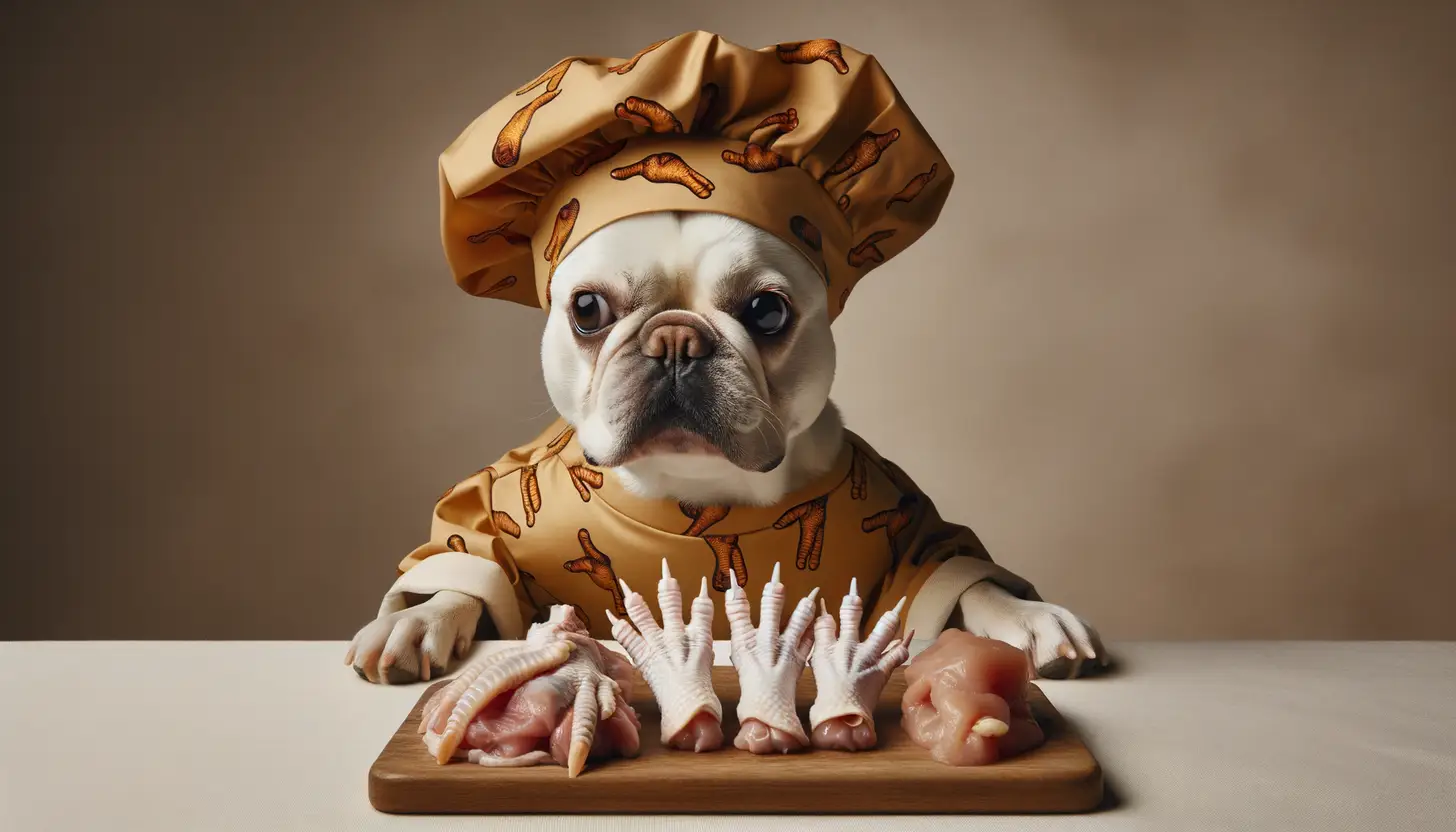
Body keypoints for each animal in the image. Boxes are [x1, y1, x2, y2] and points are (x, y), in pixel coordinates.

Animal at [346, 211, 1106, 687]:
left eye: (767, 311)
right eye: (587, 309)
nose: (677, 339)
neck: (697, 491)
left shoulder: (904, 527)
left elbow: (962, 576)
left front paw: (1027, 618)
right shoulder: (501, 512)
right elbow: (464, 570)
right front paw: (416, 621)